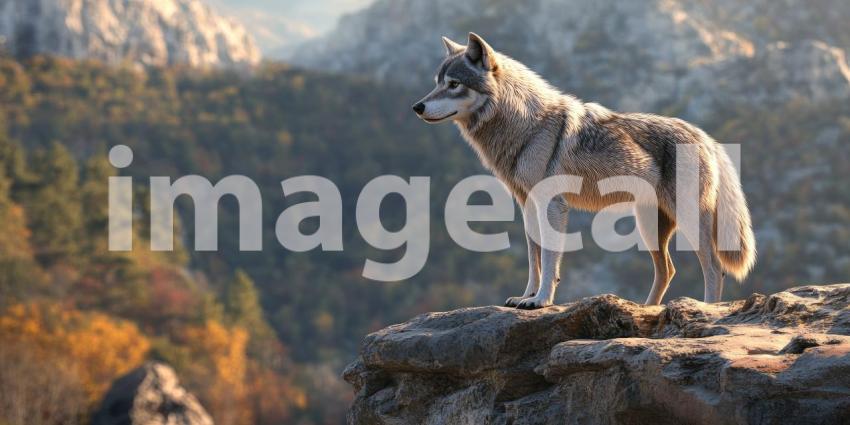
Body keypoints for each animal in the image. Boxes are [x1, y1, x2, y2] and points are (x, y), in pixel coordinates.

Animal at [413, 33, 755, 309]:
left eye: (454, 84)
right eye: (437, 82)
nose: (417, 107)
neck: (528, 127)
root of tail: (706, 137)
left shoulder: (552, 206)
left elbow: (550, 260)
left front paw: (540, 301)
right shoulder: (527, 206)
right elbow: (534, 259)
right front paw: (526, 296)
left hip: (686, 221)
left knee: (713, 267)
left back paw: (706, 309)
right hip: (649, 228)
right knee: (667, 270)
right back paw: (647, 310)